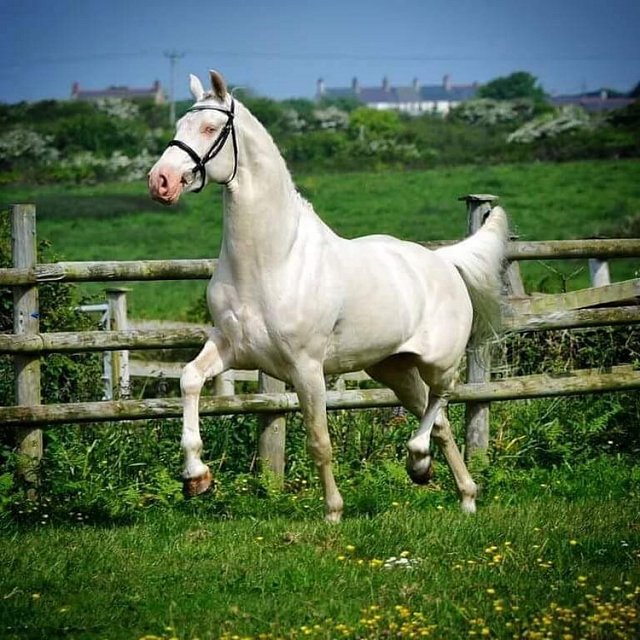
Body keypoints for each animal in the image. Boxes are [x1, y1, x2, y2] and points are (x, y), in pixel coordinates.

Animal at [148, 70, 509, 522]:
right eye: (180, 124)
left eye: (211, 128)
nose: (160, 181)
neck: (272, 260)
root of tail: (442, 262)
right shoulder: (230, 346)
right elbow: (189, 379)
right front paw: (196, 476)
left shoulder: (306, 368)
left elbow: (319, 441)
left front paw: (333, 512)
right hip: (393, 369)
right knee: (439, 420)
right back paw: (459, 492)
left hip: (438, 361)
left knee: (443, 399)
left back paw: (420, 460)